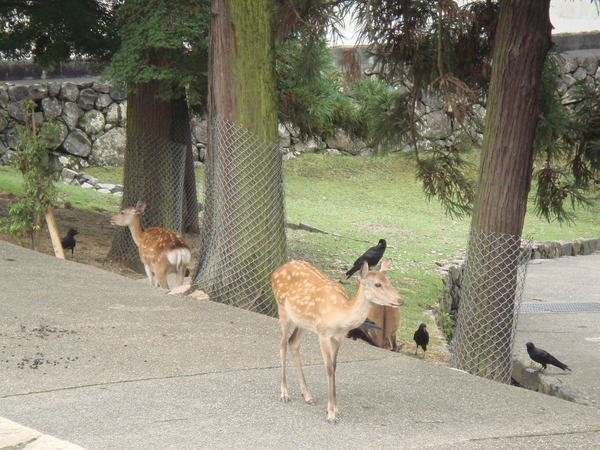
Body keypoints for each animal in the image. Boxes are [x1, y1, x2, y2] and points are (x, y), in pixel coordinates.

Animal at [272, 258, 404, 424]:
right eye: (377, 284)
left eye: (389, 281)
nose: (400, 300)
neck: (341, 313)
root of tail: (275, 271)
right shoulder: (323, 333)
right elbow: (328, 368)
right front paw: (330, 415)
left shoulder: (339, 337)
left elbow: (334, 367)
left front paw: (336, 409)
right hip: (282, 309)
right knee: (282, 344)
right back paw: (284, 393)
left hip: (304, 322)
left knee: (293, 343)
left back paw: (307, 395)